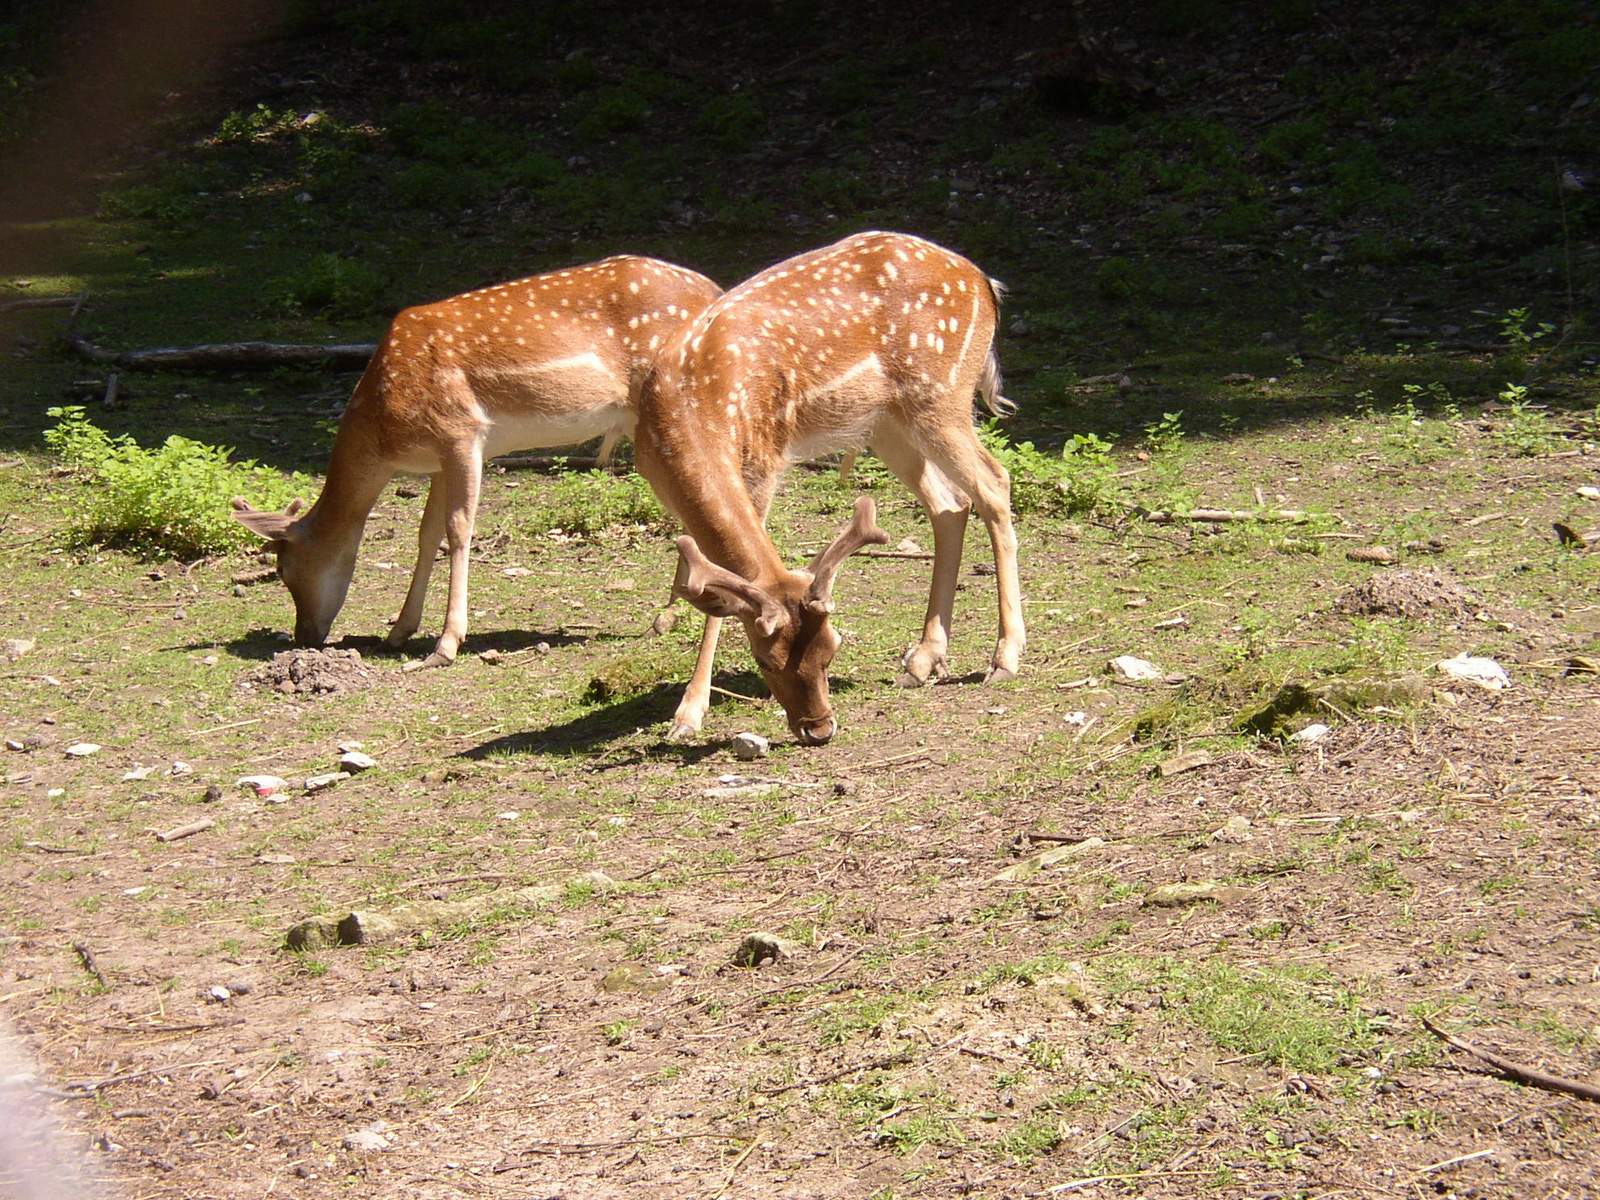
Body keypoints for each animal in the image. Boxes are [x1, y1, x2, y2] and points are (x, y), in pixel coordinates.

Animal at [230, 256, 720, 668]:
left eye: (283, 570)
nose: (304, 636)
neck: (386, 435)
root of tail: (714, 291)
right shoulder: (438, 460)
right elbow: (426, 534)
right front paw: (398, 632)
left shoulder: (461, 431)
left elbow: (459, 528)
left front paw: (445, 645)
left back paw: (668, 614)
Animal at [636, 230, 1024, 748]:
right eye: (766, 661)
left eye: (833, 647)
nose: (819, 728)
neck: (690, 411)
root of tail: (984, 281)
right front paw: (686, 710)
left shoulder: (765, 457)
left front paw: (689, 712)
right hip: (887, 420)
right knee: (949, 503)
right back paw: (921, 660)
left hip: (939, 392)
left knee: (993, 482)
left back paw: (1005, 658)